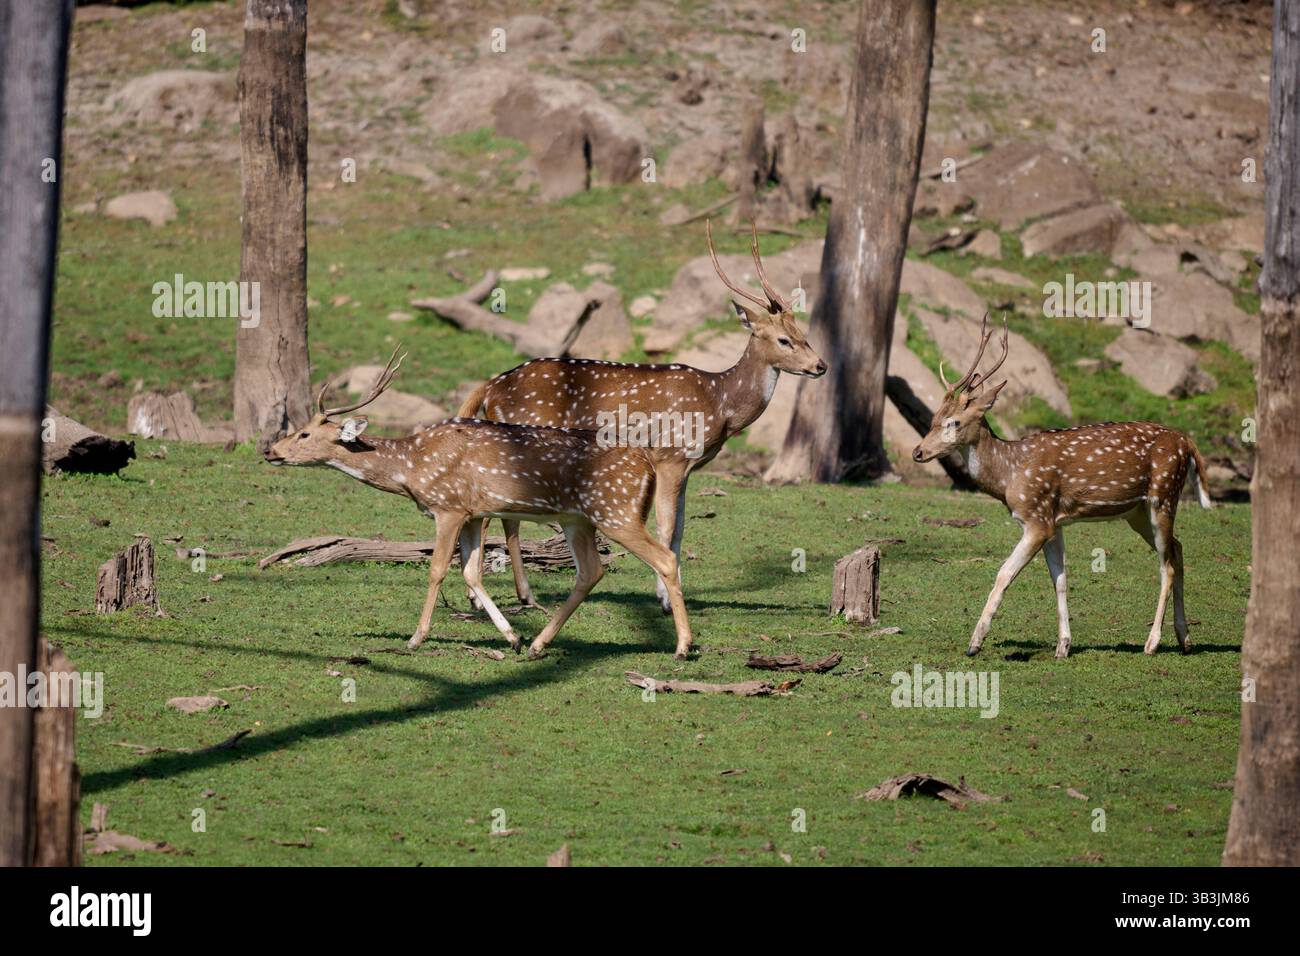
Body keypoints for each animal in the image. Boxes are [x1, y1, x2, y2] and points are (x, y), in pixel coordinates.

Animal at [264, 349, 695, 659]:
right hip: (580, 519)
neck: (410, 469)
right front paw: (512, 637)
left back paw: (683, 646)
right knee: (591, 571)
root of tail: (645, 465)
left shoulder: (448, 507)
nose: (270, 450)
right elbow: (471, 573)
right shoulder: (473, 513)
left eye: (303, 434)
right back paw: (537, 644)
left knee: (665, 557)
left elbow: (437, 569)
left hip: (616, 510)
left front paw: (415, 638)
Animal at [457, 220, 827, 615]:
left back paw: (519, 594)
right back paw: (490, 597)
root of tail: (491, 387)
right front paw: (664, 600)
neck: (720, 402)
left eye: (803, 333)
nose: (821, 365)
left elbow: (679, 528)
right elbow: (666, 528)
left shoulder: (689, 466)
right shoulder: (669, 455)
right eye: (784, 339)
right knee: (494, 514)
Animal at [911, 316, 1213, 660]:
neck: (1009, 476)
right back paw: (1185, 638)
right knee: (1178, 548)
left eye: (955, 423)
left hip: (1164, 495)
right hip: (1137, 512)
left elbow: (1004, 573)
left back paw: (1152, 642)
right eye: (934, 418)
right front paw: (1063, 645)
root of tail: (1187, 441)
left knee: (1168, 565)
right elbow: (1060, 579)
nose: (918, 452)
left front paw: (975, 643)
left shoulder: (1037, 518)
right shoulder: (1054, 522)